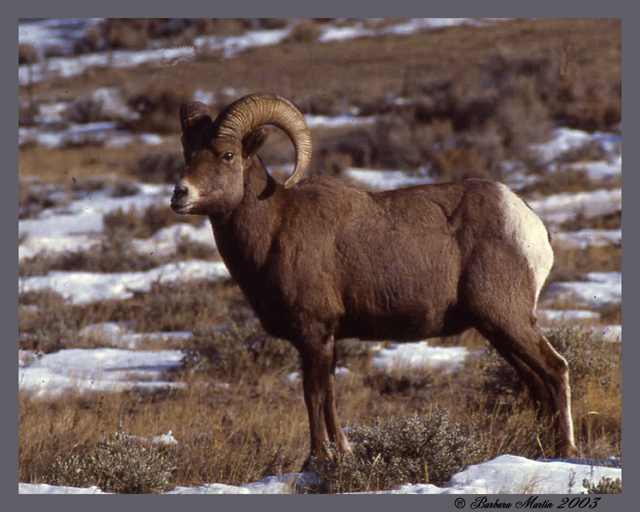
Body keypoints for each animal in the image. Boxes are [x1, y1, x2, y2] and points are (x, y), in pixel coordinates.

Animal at [170, 93, 576, 464]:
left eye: (227, 155)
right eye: (188, 153)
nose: (180, 194)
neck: (275, 229)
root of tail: (530, 224)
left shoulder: (314, 333)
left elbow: (314, 395)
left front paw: (317, 459)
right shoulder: (325, 340)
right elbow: (330, 396)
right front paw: (343, 452)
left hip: (507, 319)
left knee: (555, 369)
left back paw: (566, 451)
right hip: (496, 329)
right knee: (535, 381)